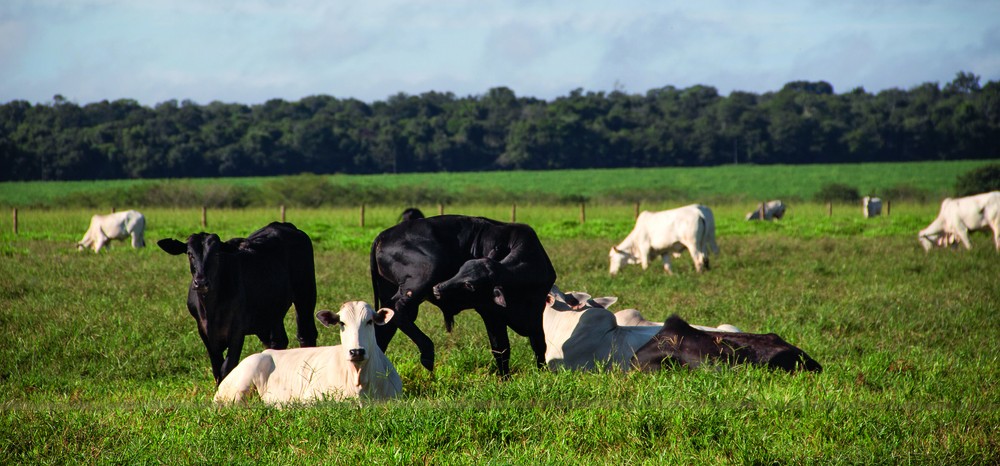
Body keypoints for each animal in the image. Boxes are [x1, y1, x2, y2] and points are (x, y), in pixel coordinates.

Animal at [157, 222, 318, 385]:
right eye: (190, 254)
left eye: (216, 254)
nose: (201, 282)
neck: (211, 309)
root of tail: (283, 225)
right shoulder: (204, 332)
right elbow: (217, 370)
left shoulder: (237, 330)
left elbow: (227, 368)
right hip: (271, 313)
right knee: (277, 341)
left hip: (305, 295)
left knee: (306, 334)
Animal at [370, 215, 556, 377]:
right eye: (460, 270)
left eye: (469, 284)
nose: (437, 288)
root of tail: (382, 235)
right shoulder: (490, 313)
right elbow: (501, 348)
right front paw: (506, 378)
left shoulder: (536, 311)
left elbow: (539, 344)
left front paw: (541, 373)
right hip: (423, 277)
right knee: (398, 309)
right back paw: (427, 352)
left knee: (386, 324)